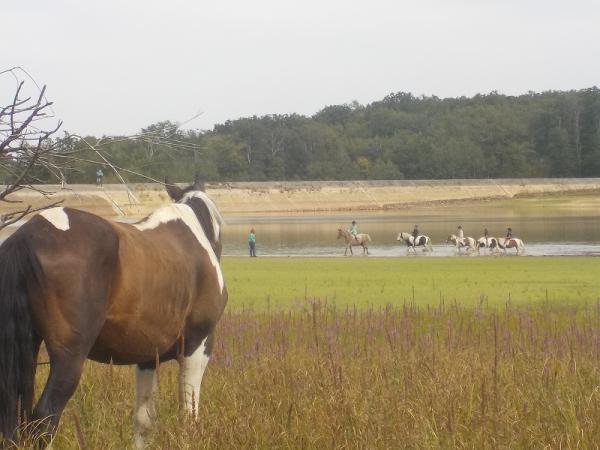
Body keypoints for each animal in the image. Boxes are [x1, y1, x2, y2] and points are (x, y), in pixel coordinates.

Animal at [0, 178, 227, 448]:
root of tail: (28, 235)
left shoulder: (147, 358)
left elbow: (143, 420)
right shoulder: (197, 346)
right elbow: (188, 415)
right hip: (69, 358)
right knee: (44, 420)